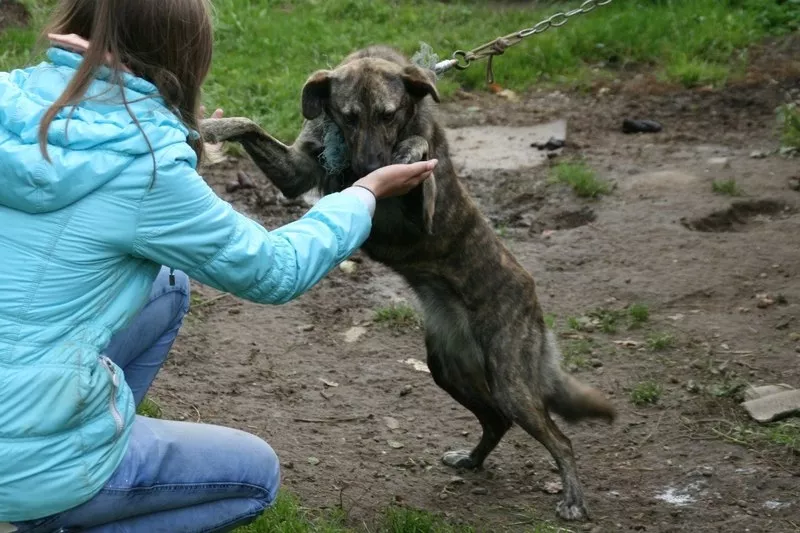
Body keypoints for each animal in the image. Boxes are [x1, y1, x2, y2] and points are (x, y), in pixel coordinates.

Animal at [203, 45, 616, 520]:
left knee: (559, 439)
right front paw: (210, 126)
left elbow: (420, 152)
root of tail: (531, 294)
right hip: (447, 368)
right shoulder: (298, 171)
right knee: (497, 421)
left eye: (389, 114)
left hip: (510, 380)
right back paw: (471, 460)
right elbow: (249, 124)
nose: (368, 168)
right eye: (347, 117)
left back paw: (573, 498)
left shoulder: (424, 212)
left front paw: (408, 151)